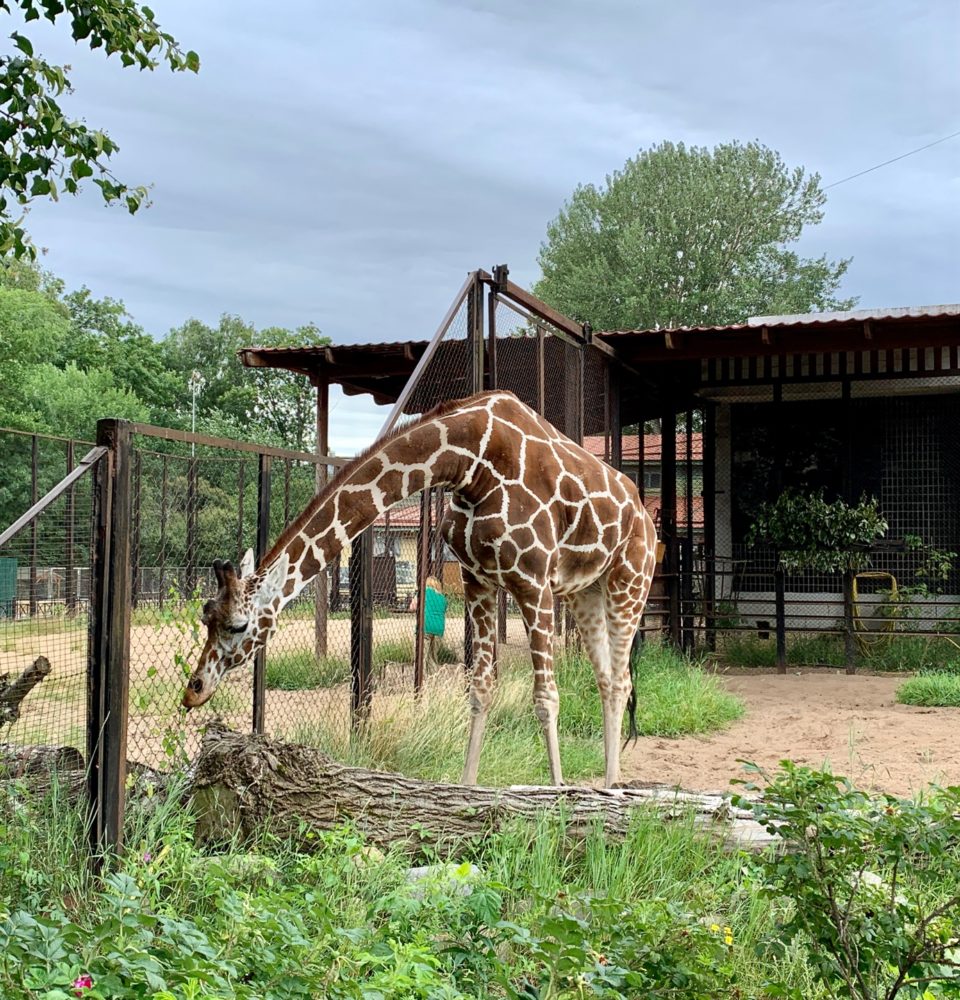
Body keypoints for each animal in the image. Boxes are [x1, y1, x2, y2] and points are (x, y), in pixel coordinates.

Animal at [180, 390, 660, 788]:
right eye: (206, 617)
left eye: (239, 626)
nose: (193, 690)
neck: (471, 463)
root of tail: (645, 517)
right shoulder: (478, 579)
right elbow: (480, 688)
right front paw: (468, 788)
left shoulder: (532, 580)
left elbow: (545, 697)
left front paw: (558, 794)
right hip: (585, 592)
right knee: (607, 677)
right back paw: (608, 781)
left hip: (629, 582)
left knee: (620, 680)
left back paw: (612, 787)